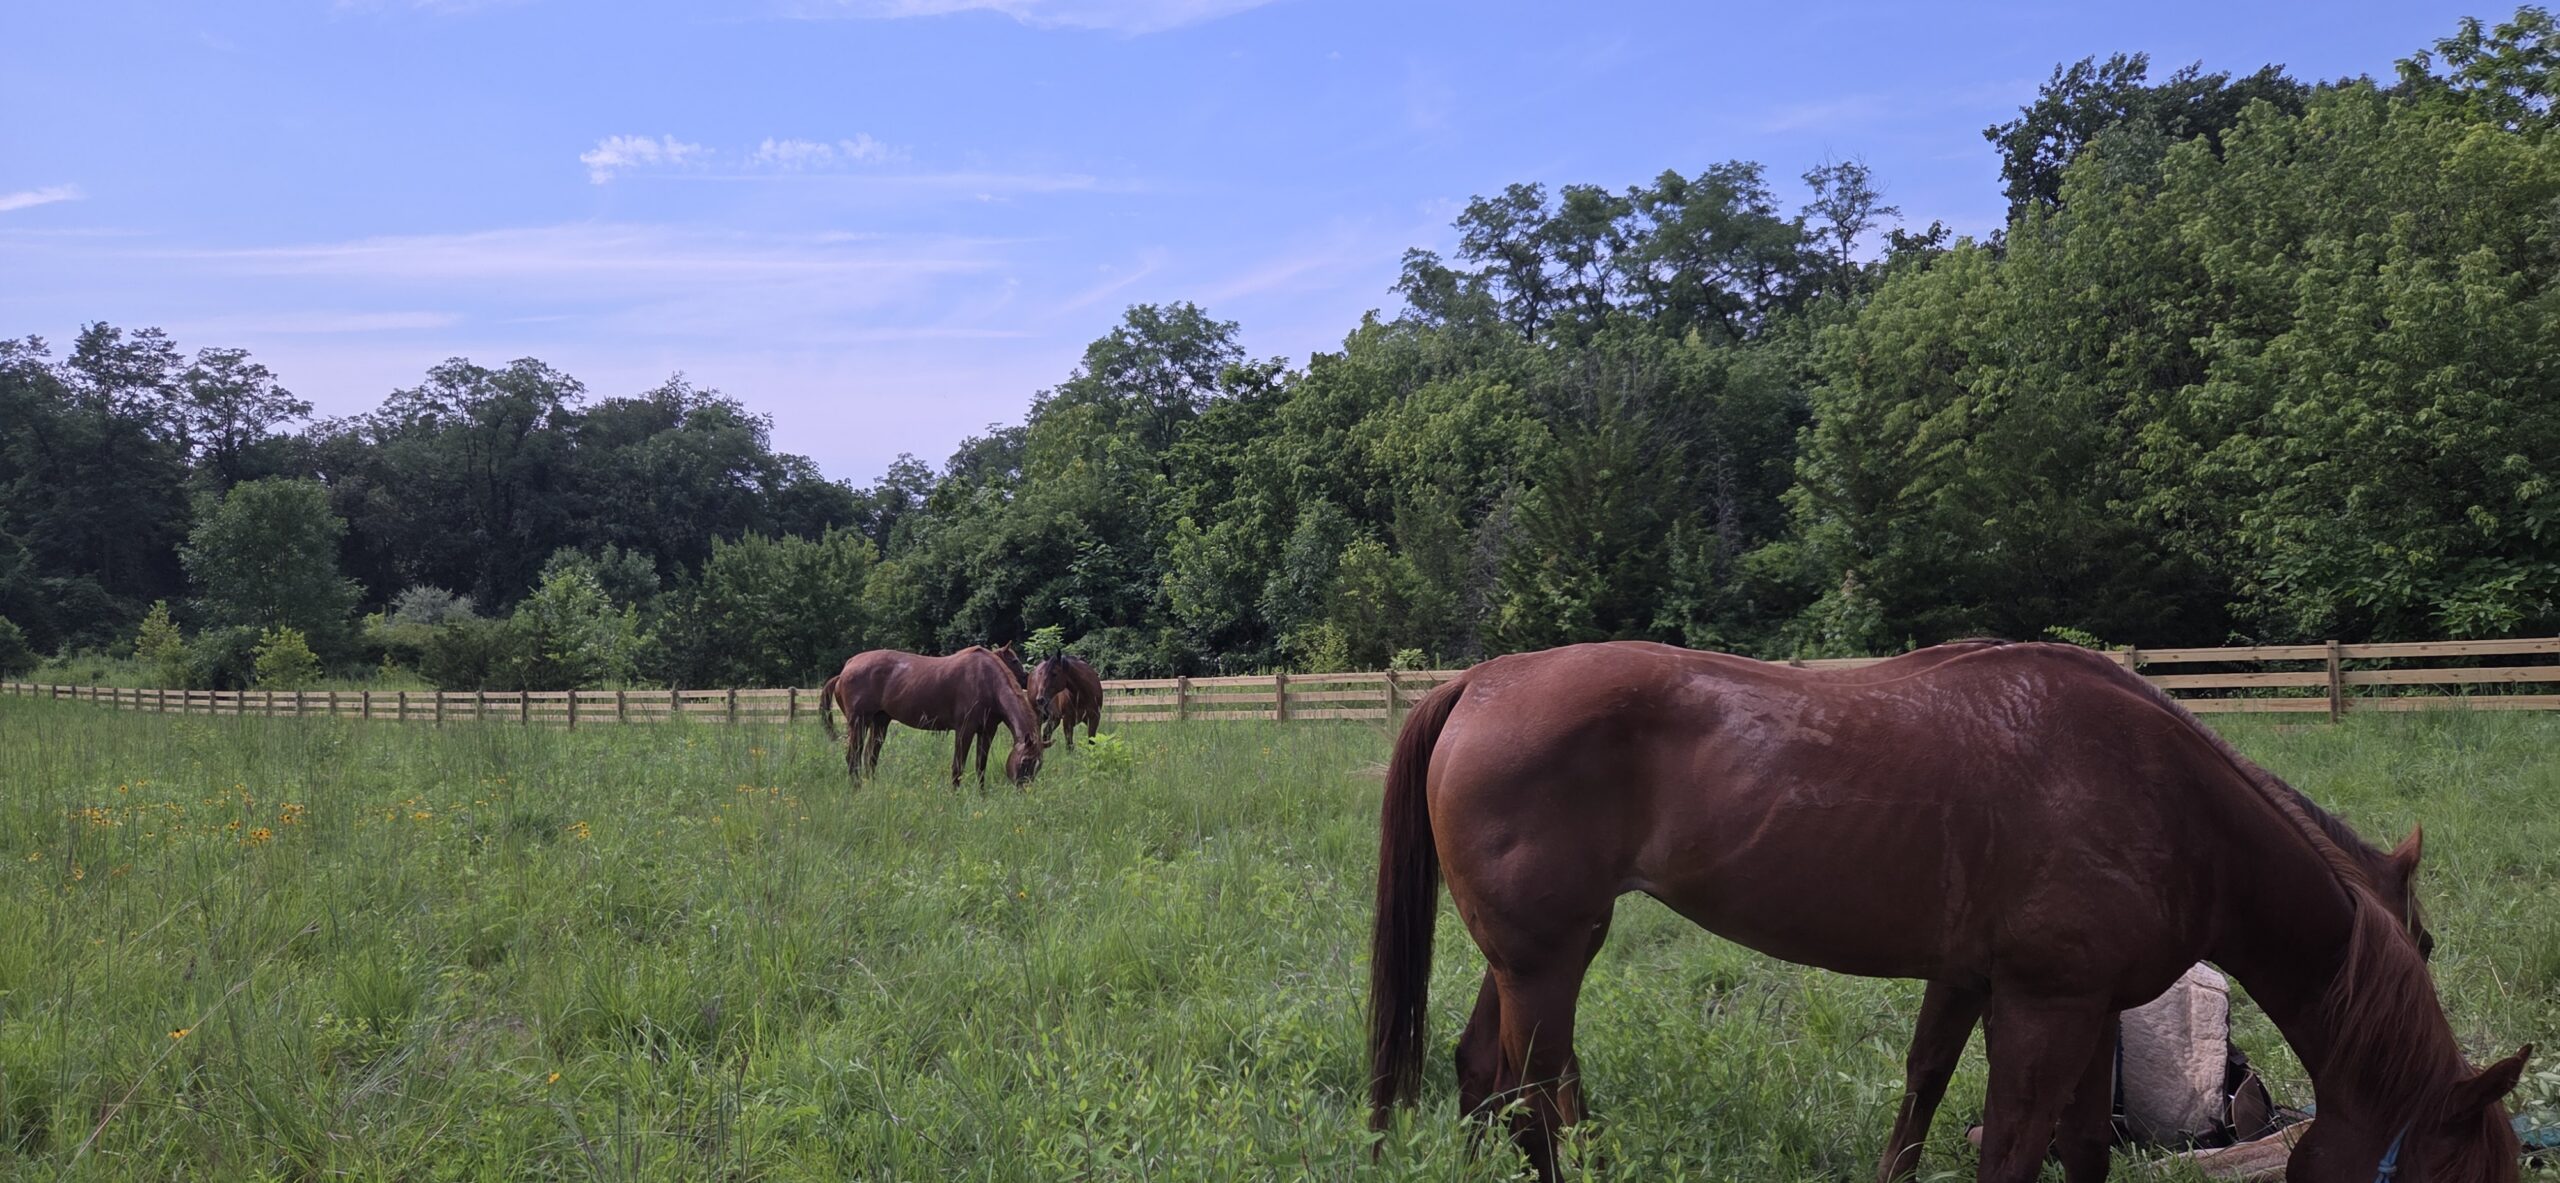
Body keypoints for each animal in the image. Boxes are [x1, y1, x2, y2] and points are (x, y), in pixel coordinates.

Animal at [819, 645, 1045, 789]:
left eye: (1039, 765)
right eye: (1025, 761)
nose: (1024, 791)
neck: (987, 680)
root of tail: (846, 669)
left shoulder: (987, 731)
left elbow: (980, 766)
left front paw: (981, 796)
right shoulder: (965, 730)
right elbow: (958, 766)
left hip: (880, 722)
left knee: (870, 757)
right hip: (859, 722)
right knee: (853, 757)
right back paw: (858, 789)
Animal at [1366, 640, 2524, 1183]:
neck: (2167, 800)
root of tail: (1483, 681)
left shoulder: (2033, 995)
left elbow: (1994, 1122)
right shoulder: (2044, 1009)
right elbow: (2007, 1149)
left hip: (1532, 953)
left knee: (1482, 1069)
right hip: (1548, 959)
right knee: (1533, 1093)